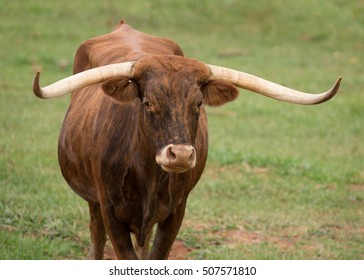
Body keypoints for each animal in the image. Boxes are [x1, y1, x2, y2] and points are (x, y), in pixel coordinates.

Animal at [32, 20, 342, 260]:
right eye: (148, 102)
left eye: (198, 104)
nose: (180, 154)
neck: (147, 176)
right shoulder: (109, 210)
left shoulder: (176, 211)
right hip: (93, 202)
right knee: (96, 239)